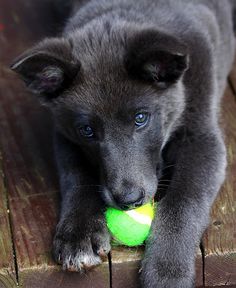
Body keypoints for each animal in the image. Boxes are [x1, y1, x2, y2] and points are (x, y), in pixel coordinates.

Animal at [11, 1, 236, 286]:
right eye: (87, 131)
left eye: (141, 118)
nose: (129, 200)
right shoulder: (65, 134)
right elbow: (76, 176)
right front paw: (79, 234)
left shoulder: (202, 137)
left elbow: (183, 200)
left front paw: (168, 268)